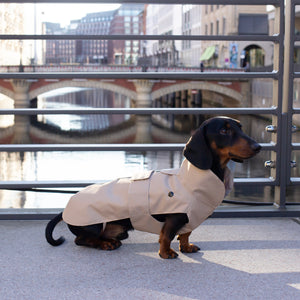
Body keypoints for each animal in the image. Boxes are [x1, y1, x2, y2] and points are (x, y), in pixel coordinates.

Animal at [44, 116, 260, 258]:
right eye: (224, 130)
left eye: (241, 127)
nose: (258, 147)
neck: (191, 180)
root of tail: (66, 207)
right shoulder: (175, 217)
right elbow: (167, 235)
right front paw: (166, 253)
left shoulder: (191, 218)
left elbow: (186, 234)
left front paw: (186, 247)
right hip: (94, 225)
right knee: (82, 239)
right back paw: (104, 244)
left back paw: (111, 240)